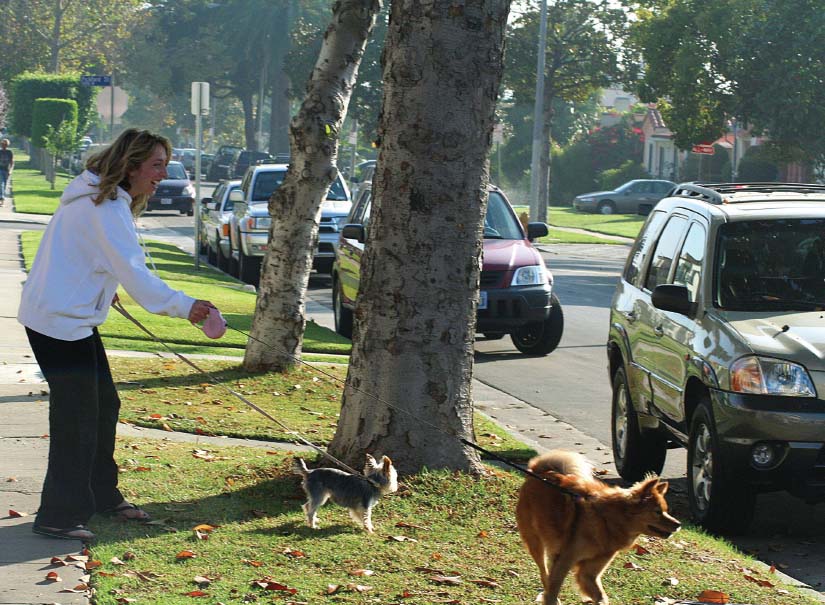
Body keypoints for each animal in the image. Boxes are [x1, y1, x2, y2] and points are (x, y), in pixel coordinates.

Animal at [516, 450, 684, 600]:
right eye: (657, 512)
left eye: (666, 511)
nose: (678, 524)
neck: (607, 520)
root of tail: (539, 470)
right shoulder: (565, 560)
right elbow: (553, 590)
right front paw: (551, 599)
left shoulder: (588, 573)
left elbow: (601, 597)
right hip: (535, 542)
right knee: (544, 573)